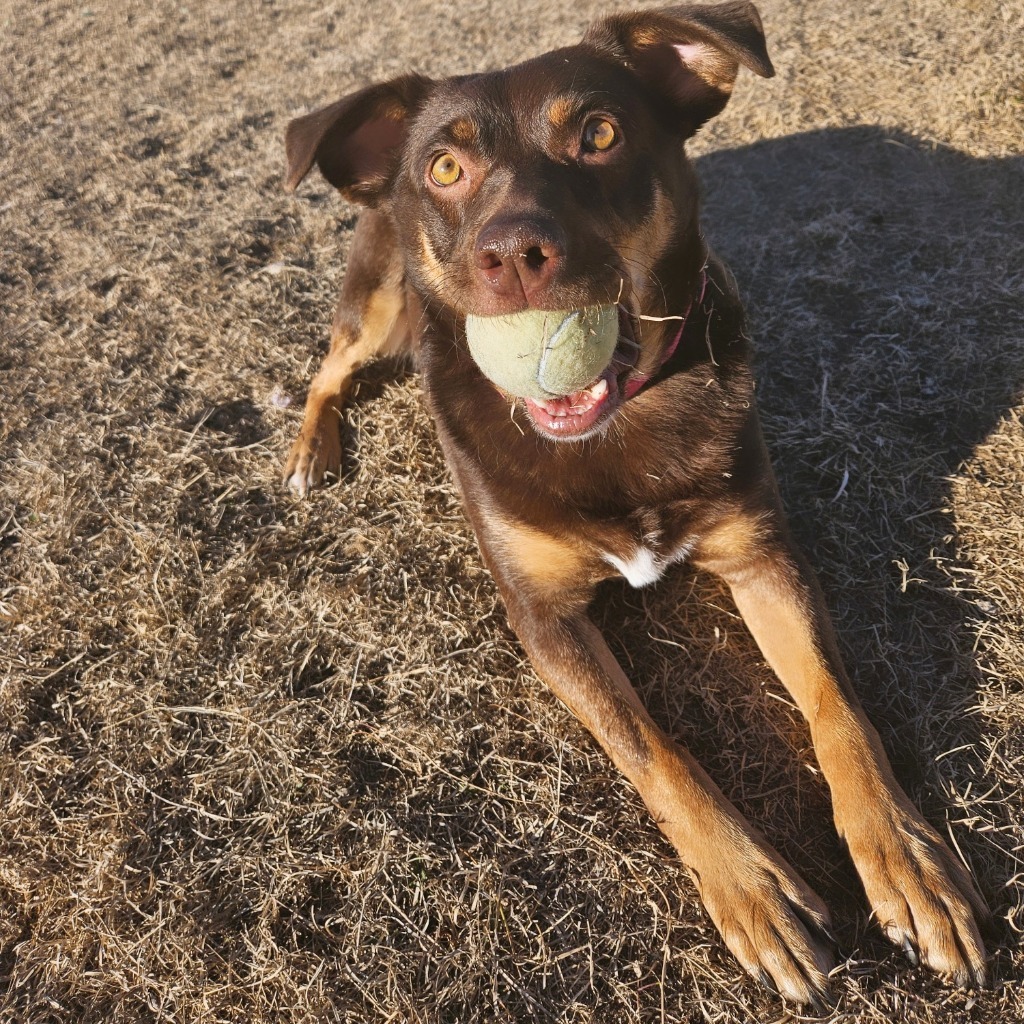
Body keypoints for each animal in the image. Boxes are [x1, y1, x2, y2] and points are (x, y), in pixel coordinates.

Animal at [278, 2, 983, 1007]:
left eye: (599, 134)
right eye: (445, 169)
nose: (514, 256)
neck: (613, 432)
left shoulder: (763, 555)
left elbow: (836, 707)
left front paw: (906, 858)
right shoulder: (544, 618)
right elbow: (653, 749)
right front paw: (752, 889)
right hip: (379, 309)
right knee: (326, 370)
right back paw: (311, 450)